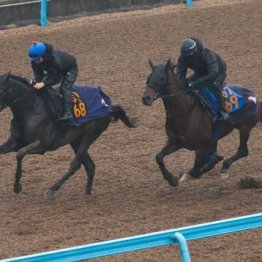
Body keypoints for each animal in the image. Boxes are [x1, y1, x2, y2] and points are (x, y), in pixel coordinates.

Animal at [0, 73, 137, 196]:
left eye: (1, 90)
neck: (30, 110)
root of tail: (108, 106)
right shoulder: (15, 141)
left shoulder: (41, 145)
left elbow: (19, 154)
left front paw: (17, 187)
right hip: (75, 140)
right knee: (90, 166)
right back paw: (87, 193)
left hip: (90, 135)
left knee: (76, 165)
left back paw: (52, 189)